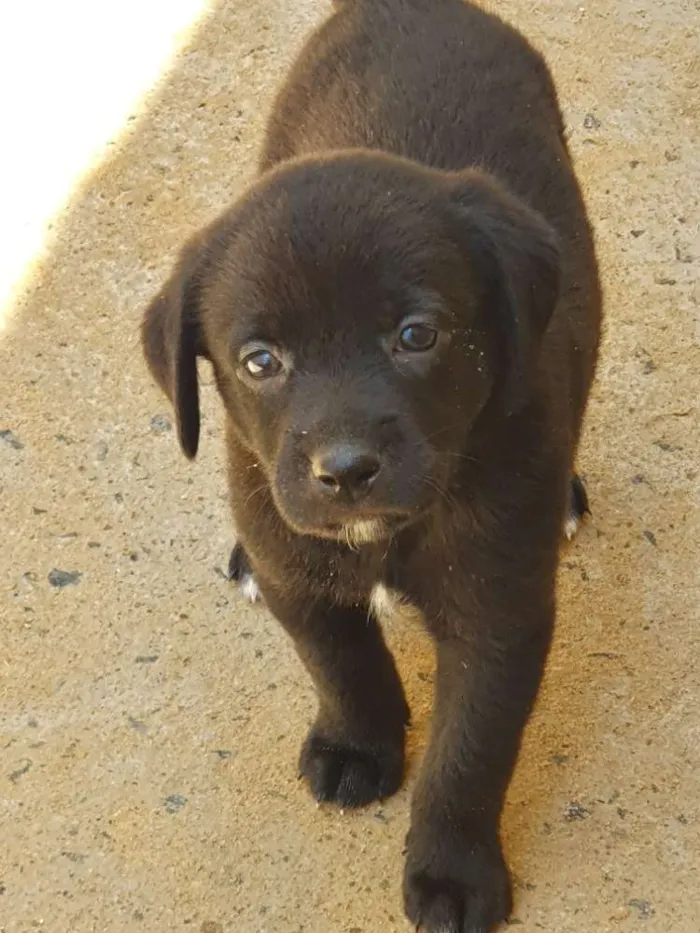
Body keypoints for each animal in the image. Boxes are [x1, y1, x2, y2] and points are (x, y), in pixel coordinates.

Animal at [141, 1, 600, 924]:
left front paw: (452, 872)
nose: (347, 469)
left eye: (417, 335)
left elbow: (470, 752)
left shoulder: (499, 612)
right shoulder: (301, 573)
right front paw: (360, 745)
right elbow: (341, 663)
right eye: (259, 361)